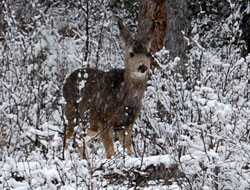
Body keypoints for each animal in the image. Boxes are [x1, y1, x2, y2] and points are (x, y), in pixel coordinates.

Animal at [62, 19, 154, 159]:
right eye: (131, 53)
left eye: (148, 53)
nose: (142, 67)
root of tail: (65, 82)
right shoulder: (104, 120)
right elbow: (111, 152)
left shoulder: (128, 124)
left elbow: (128, 151)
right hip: (73, 113)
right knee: (67, 138)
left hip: (89, 124)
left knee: (81, 139)